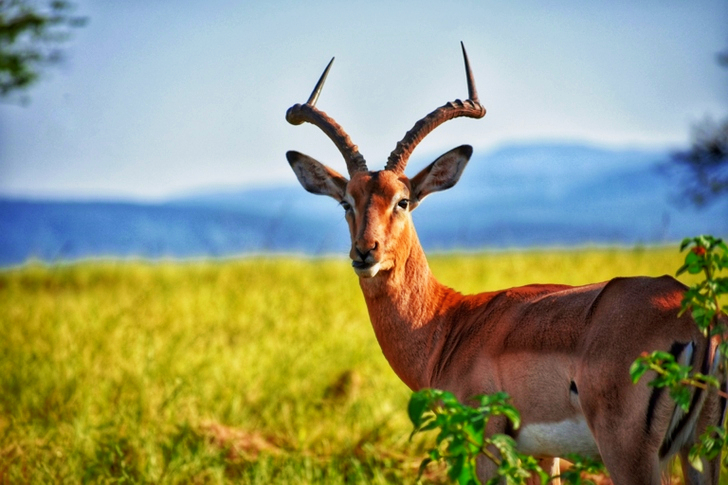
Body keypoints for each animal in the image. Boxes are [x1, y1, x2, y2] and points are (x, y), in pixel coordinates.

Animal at [284, 43, 726, 484]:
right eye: (347, 202)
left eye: (403, 200)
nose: (365, 252)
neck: (449, 324)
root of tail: (698, 321)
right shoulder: (544, 455)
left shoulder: (486, 444)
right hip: (699, 452)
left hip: (629, 453)